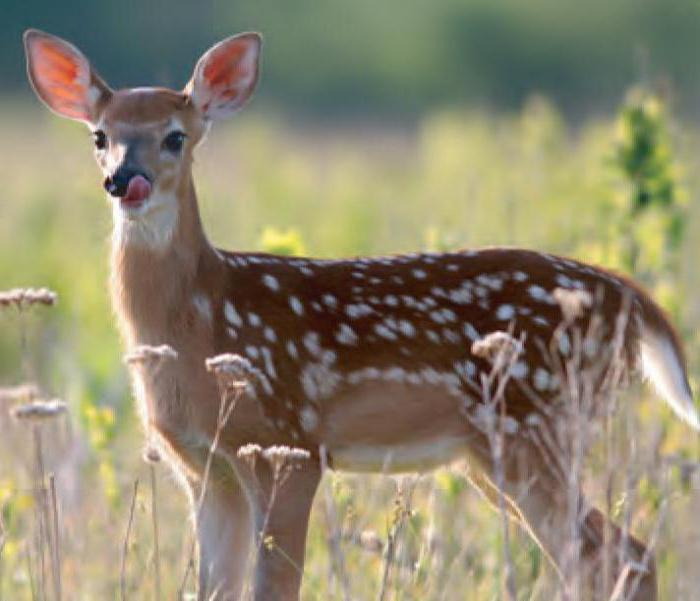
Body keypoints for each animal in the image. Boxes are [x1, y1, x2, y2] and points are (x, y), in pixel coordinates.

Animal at [24, 28, 696, 600]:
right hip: (496, 449)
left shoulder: (288, 443)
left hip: (537, 423)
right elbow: (213, 588)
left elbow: (276, 586)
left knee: (622, 556)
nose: (125, 179)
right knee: (612, 557)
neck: (202, 323)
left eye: (175, 136)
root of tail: (632, 298)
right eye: (100, 136)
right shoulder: (205, 467)